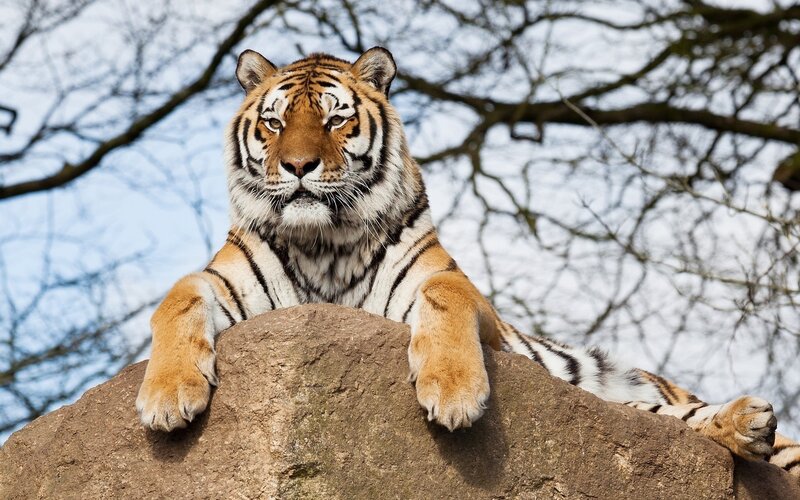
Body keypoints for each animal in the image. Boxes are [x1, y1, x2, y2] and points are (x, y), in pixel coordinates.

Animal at [135, 47, 800, 479]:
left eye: (335, 118)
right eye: (274, 123)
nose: (298, 166)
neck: (325, 242)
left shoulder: (454, 288)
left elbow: (443, 299)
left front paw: (454, 394)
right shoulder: (221, 279)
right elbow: (175, 298)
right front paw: (167, 397)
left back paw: (751, 421)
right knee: (663, 421)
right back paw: (745, 427)